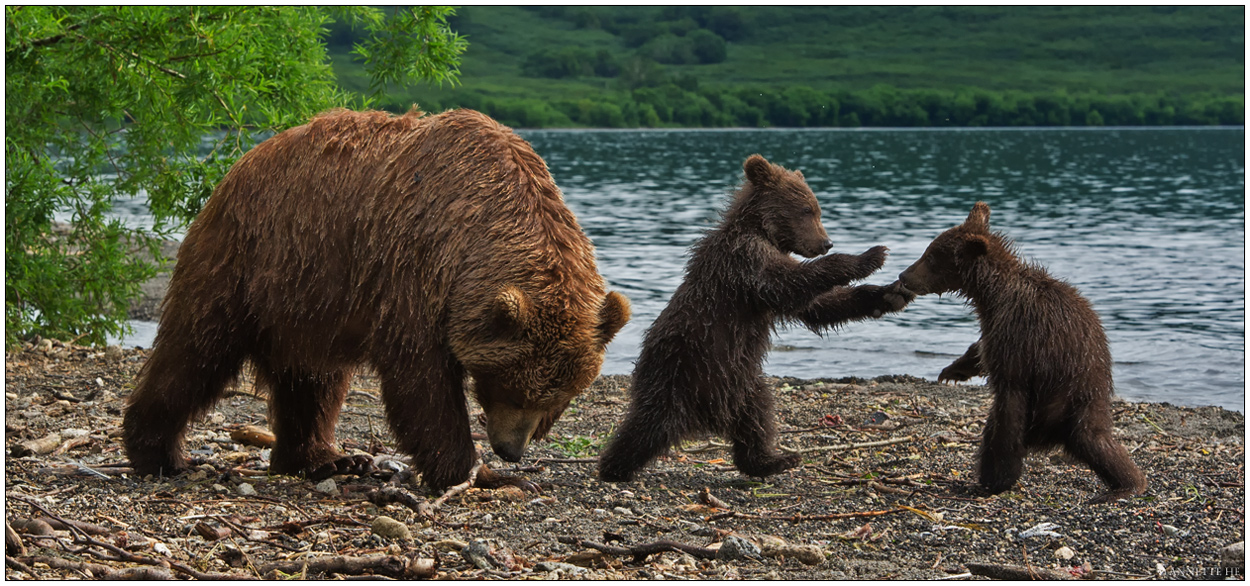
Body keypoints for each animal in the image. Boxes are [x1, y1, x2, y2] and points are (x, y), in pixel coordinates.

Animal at [125, 108, 630, 489]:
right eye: (510, 386)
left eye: (558, 398)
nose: (511, 450)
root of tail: (240, 164)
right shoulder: (413, 266)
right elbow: (420, 380)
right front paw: (469, 469)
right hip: (245, 260)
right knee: (195, 352)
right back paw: (157, 454)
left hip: (308, 299)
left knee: (313, 381)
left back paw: (323, 458)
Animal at [900, 202, 1145, 502]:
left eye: (931, 258)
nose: (903, 276)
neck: (991, 294)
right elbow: (979, 350)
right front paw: (952, 370)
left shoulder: (1017, 336)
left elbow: (1007, 394)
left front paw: (1000, 476)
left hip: (1067, 396)